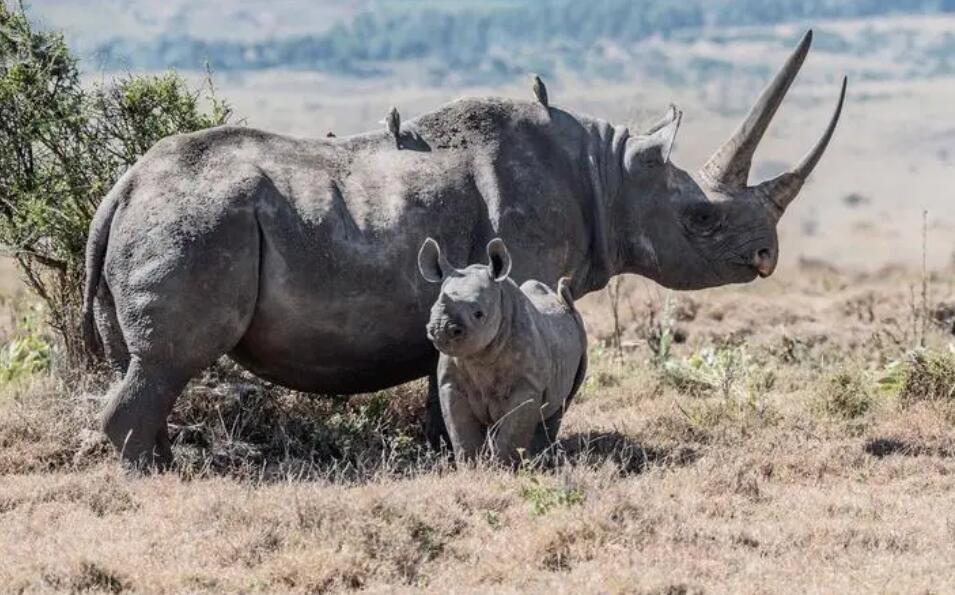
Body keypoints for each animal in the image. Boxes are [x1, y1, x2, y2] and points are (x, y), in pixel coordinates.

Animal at [420, 236, 588, 460]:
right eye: (431, 310)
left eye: (479, 314)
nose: (440, 329)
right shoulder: (450, 383)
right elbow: (461, 431)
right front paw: (470, 464)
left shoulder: (528, 385)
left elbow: (512, 433)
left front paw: (503, 465)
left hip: (579, 335)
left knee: (560, 405)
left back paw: (540, 457)